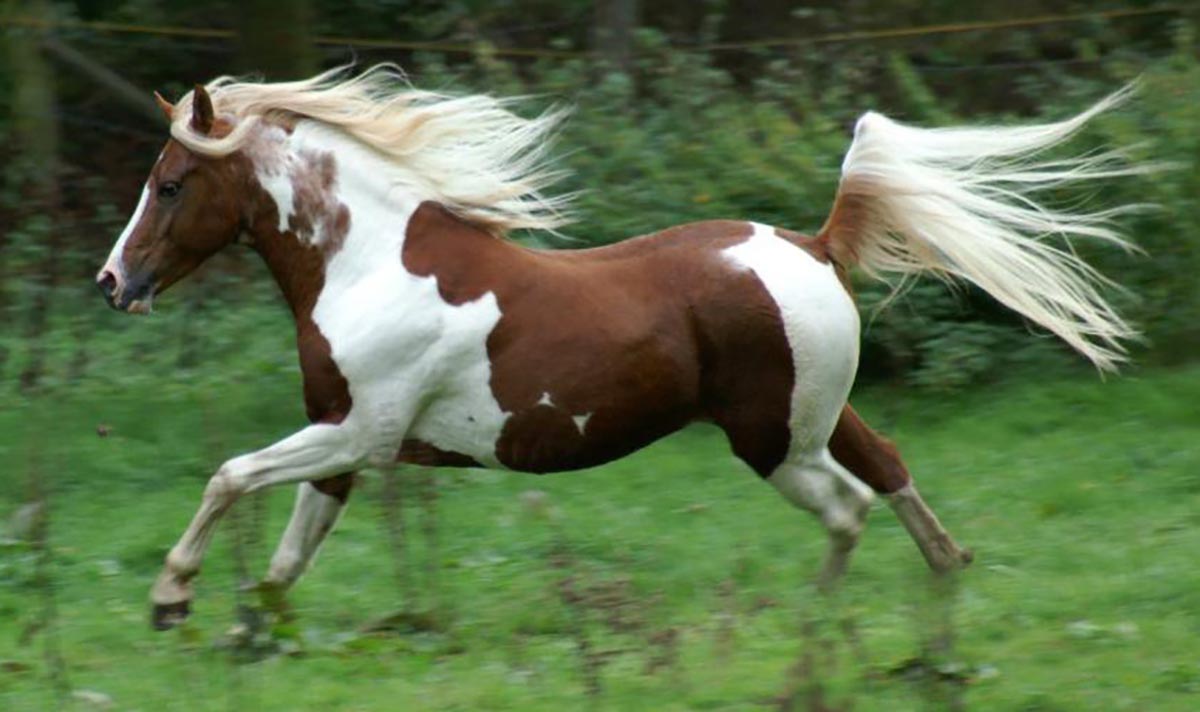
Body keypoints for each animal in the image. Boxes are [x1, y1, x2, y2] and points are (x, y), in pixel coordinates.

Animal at [96, 66, 1142, 629]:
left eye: (172, 182)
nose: (113, 282)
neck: (370, 261)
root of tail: (811, 245)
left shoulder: (362, 432)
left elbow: (229, 476)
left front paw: (169, 600)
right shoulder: (344, 440)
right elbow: (287, 558)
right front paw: (250, 633)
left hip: (772, 441)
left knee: (847, 509)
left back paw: (820, 621)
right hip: (817, 415)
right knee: (888, 472)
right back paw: (945, 588)